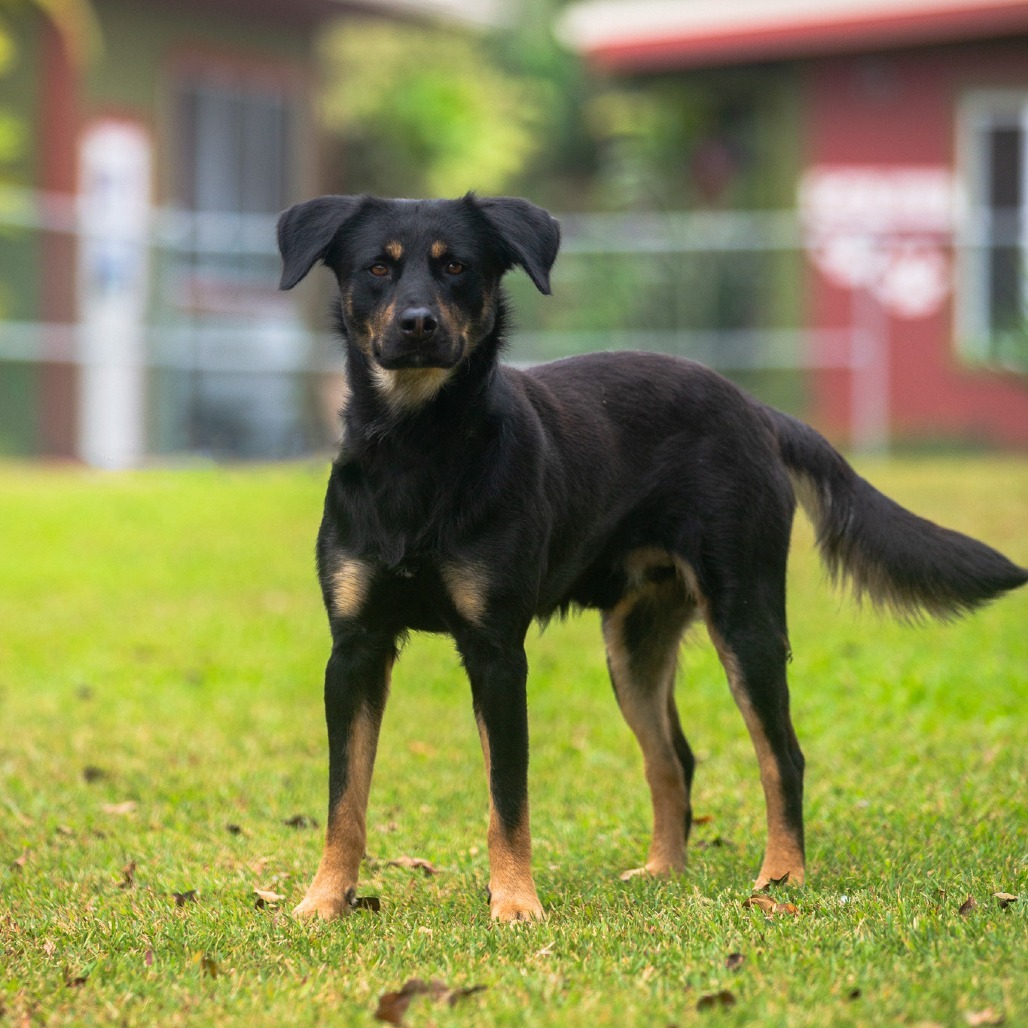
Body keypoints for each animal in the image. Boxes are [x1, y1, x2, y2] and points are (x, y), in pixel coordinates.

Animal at [275, 193, 1028, 925]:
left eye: (457, 266)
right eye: (378, 268)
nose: (419, 324)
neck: (416, 449)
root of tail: (755, 410)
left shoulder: (496, 651)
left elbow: (507, 797)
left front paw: (515, 904)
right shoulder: (356, 648)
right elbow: (345, 799)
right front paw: (323, 901)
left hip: (746, 620)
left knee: (781, 755)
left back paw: (781, 875)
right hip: (634, 645)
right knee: (674, 760)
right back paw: (665, 870)